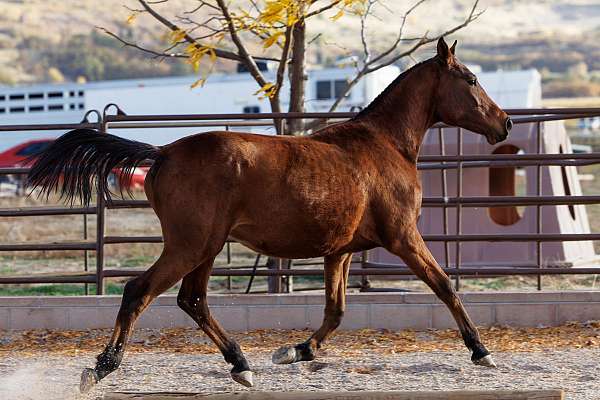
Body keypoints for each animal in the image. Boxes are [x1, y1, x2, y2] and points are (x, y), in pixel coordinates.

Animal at [29, 39, 510, 392]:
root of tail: (162, 152)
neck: (385, 144)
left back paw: (241, 364)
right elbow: (445, 286)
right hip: (191, 245)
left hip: (206, 248)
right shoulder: (403, 237)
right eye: (470, 79)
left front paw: (296, 351)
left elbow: (336, 310)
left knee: (193, 300)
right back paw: (101, 367)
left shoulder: (340, 251)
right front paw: (481, 351)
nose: (504, 123)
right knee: (139, 291)